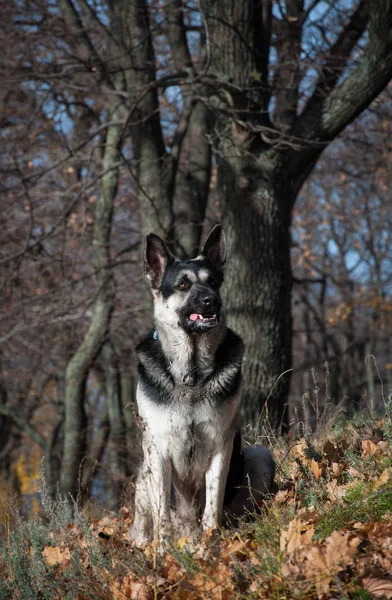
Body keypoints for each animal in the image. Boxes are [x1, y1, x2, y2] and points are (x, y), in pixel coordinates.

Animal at [130, 225, 274, 544]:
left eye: (214, 282)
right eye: (183, 285)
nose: (212, 301)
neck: (191, 373)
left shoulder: (221, 444)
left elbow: (213, 503)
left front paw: (211, 544)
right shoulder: (158, 451)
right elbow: (162, 513)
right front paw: (163, 551)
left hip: (260, 456)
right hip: (144, 470)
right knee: (146, 519)